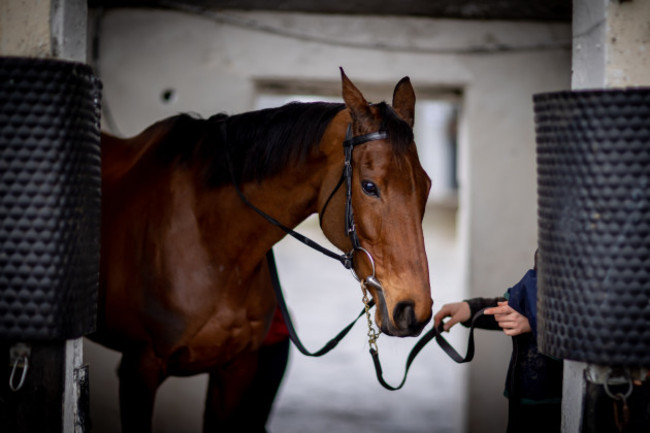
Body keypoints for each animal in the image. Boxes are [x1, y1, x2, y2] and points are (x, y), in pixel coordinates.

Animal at [91, 69, 432, 430]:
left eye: (427, 186)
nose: (414, 310)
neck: (210, 244)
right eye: (369, 187)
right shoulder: (139, 369)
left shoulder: (236, 370)